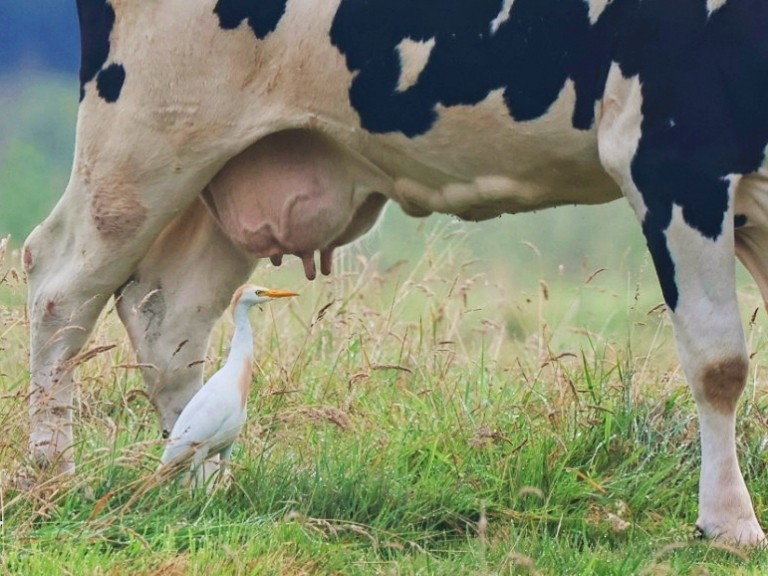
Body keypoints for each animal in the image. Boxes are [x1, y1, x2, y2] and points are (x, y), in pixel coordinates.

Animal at [21, 0, 768, 544]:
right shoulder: (673, 150)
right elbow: (719, 361)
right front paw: (731, 525)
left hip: (234, 166)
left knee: (171, 316)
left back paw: (204, 487)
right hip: (147, 133)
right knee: (59, 283)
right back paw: (53, 479)